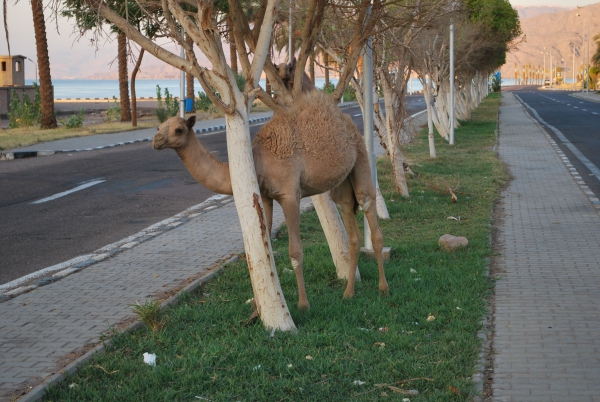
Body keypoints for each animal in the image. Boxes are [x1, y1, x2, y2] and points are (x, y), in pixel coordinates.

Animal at [152, 91, 390, 310]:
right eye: (159, 126)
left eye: (179, 129)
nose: (156, 140)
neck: (258, 161)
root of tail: (346, 120)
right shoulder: (265, 196)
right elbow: (265, 247)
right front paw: (258, 305)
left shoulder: (290, 196)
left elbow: (295, 251)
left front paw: (303, 304)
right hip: (341, 183)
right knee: (350, 221)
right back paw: (348, 293)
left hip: (360, 155)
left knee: (369, 209)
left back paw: (383, 287)